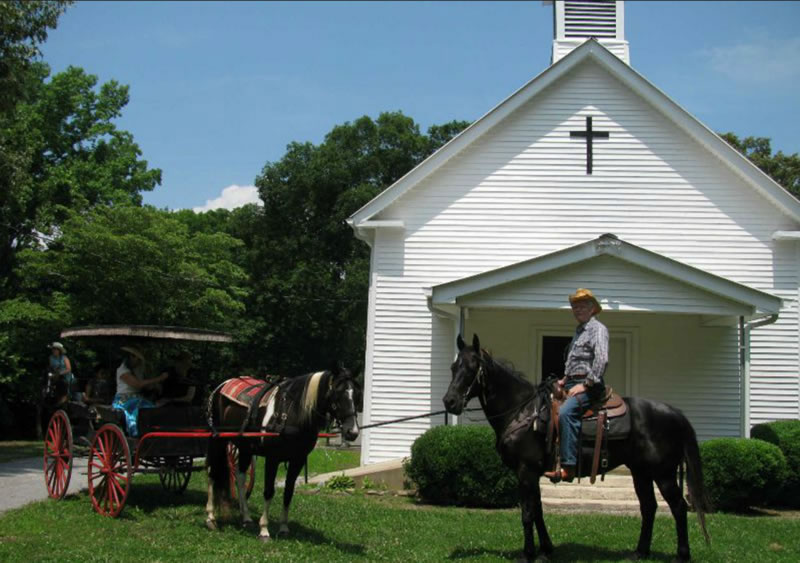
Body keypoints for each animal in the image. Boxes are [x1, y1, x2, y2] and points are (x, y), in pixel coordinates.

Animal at [206, 368, 360, 540]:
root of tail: (220, 387)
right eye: (337, 394)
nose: (352, 431)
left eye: (356, 395)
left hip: (245, 448)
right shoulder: (272, 459)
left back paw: (246, 518)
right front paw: (264, 530)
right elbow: (268, 492)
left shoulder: (297, 460)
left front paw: (284, 528)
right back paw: (210, 518)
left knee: (239, 478)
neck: (292, 412)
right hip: (217, 441)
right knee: (212, 473)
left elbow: (288, 493)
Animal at [444, 334, 712, 563]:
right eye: (453, 367)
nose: (450, 402)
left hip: (663, 474)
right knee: (649, 507)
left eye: (472, 368)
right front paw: (546, 550)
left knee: (678, 507)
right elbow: (538, 511)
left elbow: (528, 513)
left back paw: (681, 555)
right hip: (641, 473)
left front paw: (528, 554)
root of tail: (675, 413)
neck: (522, 411)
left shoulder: (526, 472)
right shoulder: (534, 474)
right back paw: (639, 553)